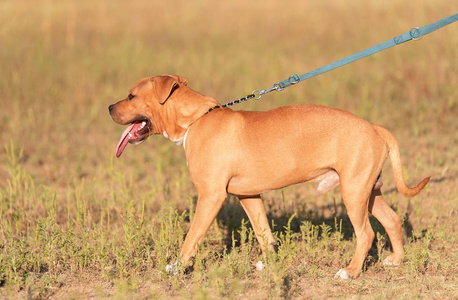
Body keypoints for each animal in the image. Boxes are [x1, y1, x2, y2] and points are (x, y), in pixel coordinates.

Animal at [109, 75, 432, 278]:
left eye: (131, 95)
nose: (109, 107)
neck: (195, 120)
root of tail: (374, 127)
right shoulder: (248, 195)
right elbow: (264, 232)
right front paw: (272, 264)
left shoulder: (211, 196)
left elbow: (191, 238)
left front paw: (176, 268)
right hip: (367, 190)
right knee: (391, 220)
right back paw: (396, 260)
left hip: (353, 193)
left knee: (366, 234)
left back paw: (349, 272)